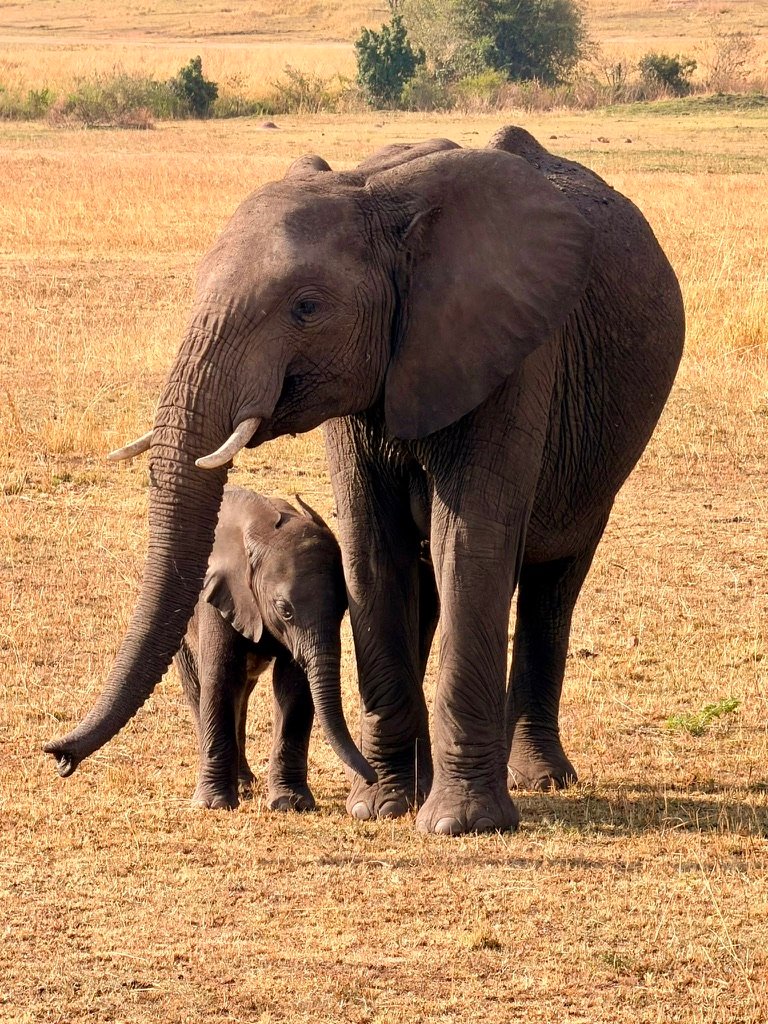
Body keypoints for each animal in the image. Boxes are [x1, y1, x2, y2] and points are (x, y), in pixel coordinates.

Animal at [176, 485, 372, 810]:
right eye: (284, 610)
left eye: (343, 608)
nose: (371, 778)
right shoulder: (218, 595)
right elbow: (219, 677)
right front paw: (213, 804)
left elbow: (294, 685)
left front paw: (291, 804)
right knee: (200, 687)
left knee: (243, 691)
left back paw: (244, 782)